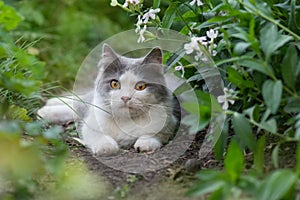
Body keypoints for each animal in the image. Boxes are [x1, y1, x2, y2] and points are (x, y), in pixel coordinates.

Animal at [37, 43, 178, 156]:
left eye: (140, 86)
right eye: (115, 84)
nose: (125, 97)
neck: (124, 121)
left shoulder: (171, 121)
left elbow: (156, 133)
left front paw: (145, 144)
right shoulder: (90, 123)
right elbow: (97, 135)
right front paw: (106, 147)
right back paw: (45, 109)